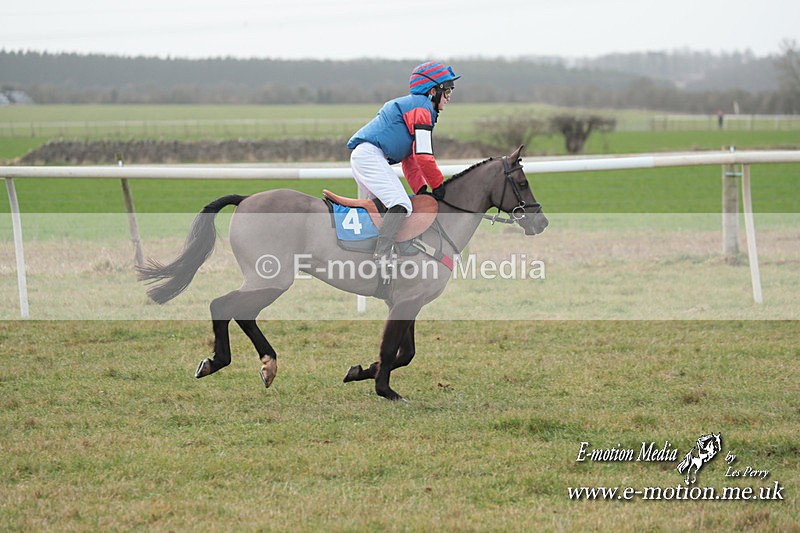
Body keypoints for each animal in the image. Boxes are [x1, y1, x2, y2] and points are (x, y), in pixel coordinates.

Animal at [137, 145, 548, 401]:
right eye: (522, 182)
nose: (540, 221)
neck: (440, 226)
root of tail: (247, 198)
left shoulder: (408, 302)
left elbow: (405, 353)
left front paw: (362, 370)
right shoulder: (405, 302)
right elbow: (392, 349)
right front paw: (385, 389)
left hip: (267, 279)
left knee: (242, 312)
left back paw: (266, 364)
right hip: (271, 277)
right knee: (224, 305)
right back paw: (221, 361)